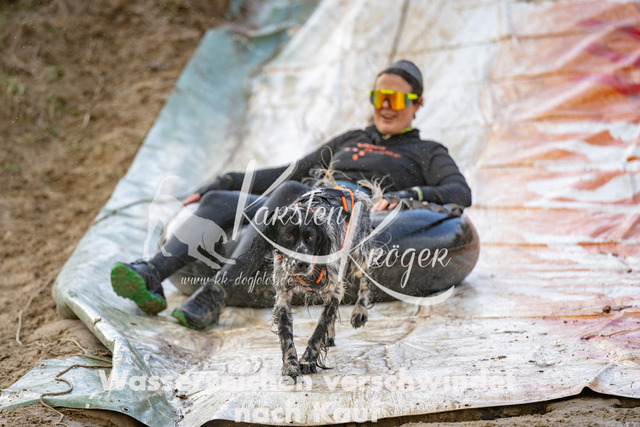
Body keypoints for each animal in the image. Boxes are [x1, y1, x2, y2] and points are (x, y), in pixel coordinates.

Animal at [258, 186, 374, 380]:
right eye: (287, 235)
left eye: (311, 237)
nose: (302, 263)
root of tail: (352, 190)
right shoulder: (283, 295)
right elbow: (286, 335)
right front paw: (290, 365)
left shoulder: (334, 290)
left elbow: (319, 329)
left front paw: (308, 360)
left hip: (359, 253)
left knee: (365, 279)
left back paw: (360, 311)